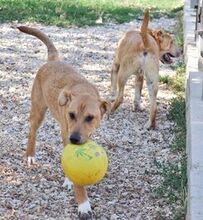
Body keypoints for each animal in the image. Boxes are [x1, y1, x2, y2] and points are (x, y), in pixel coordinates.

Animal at [16, 26, 110, 220]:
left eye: (90, 117)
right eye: (71, 114)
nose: (74, 139)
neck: (83, 90)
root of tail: (53, 60)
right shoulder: (68, 134)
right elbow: (78, 181)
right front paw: (83, 204)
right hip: (38, 111)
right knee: (32, 132)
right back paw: (30, 155)